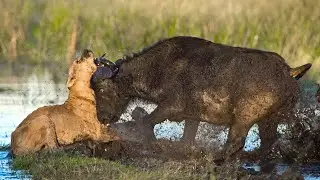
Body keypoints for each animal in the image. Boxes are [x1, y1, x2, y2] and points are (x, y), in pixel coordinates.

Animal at [91, 35, 312, 158]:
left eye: (100, 90)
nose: (102, 118)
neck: (161, 66)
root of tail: (288, 71)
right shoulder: (192, 117)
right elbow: (186, 138)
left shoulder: (170, 107)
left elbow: (145, 121)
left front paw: (154, 145)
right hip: (268, 120)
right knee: (267, 142)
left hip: (244, 119)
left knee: (236, 142)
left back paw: (216, 158)